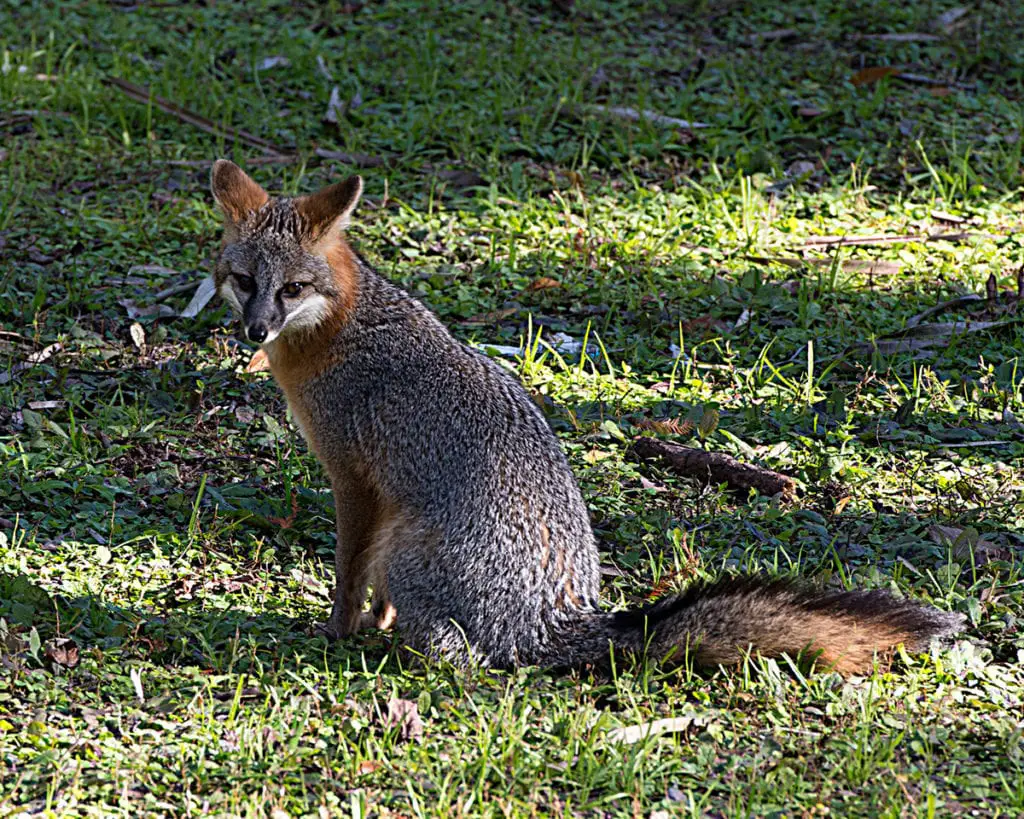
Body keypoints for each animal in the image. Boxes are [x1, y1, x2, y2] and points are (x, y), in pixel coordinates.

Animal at [207, 158, 958, 671]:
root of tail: (560, 618)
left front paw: (339, 629)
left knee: (462, 657)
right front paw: (374, 623)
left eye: (293, 288)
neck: (342, 327)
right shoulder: (383, 493)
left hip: (407, 549)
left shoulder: (356, 483)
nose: (254, 330)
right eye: (244, 281)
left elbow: (346, 574)